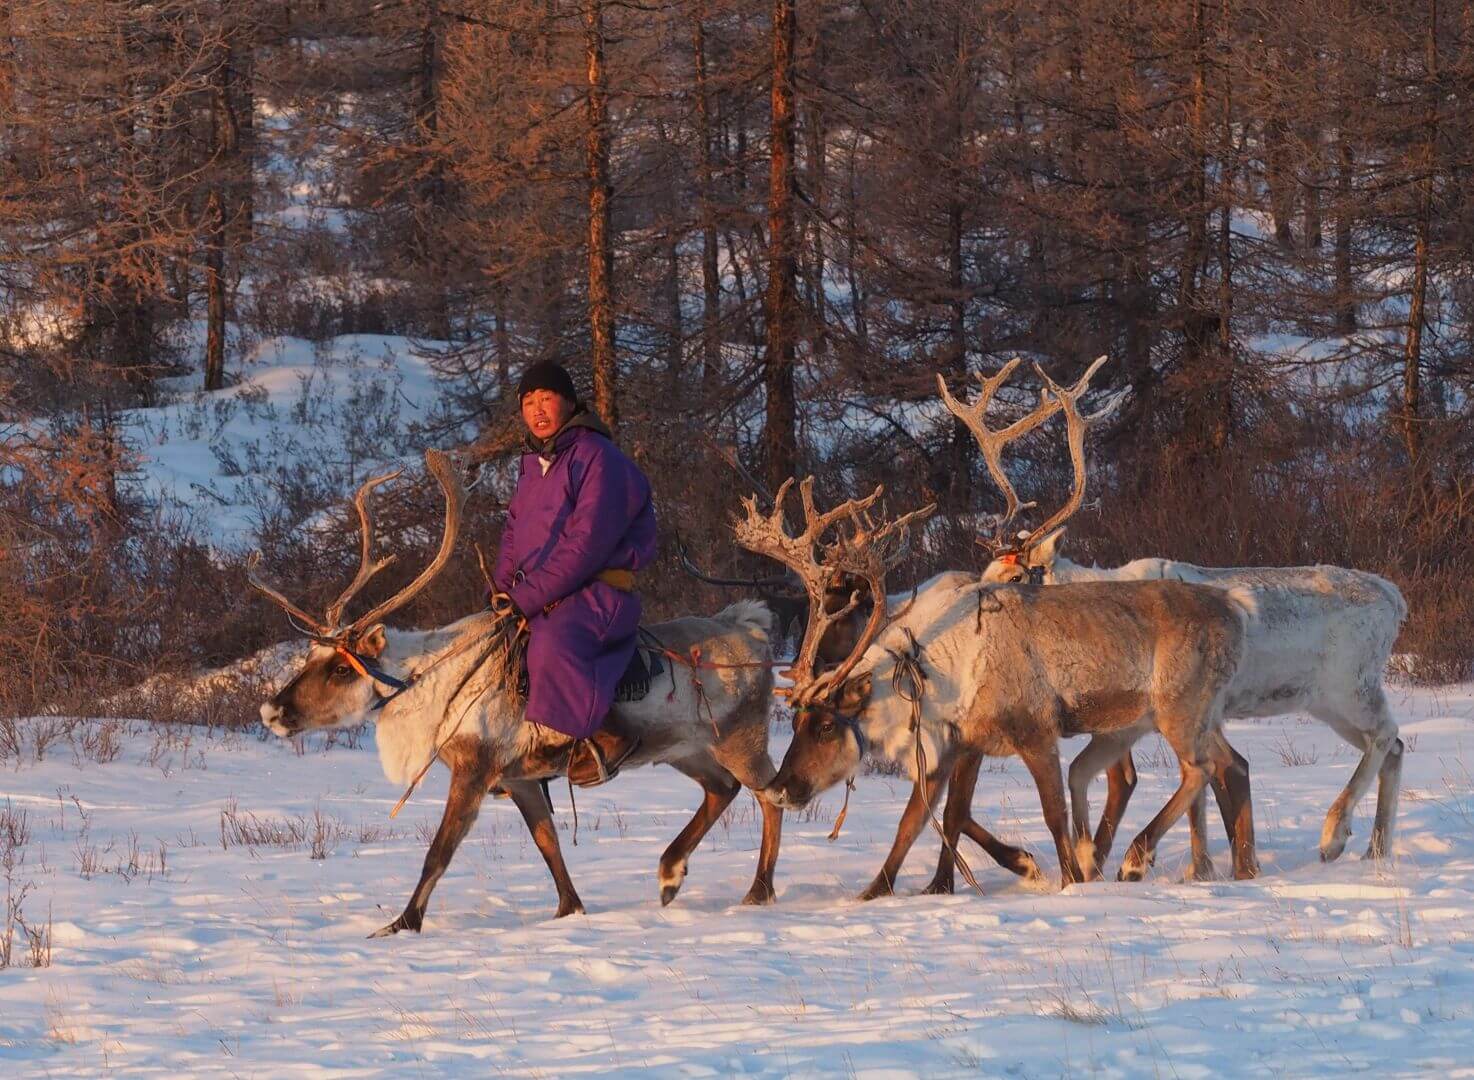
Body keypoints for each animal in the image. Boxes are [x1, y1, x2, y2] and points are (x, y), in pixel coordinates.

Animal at [250, 449, 786, 937]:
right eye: (310, 658)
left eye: (342, 668)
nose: (271, 710)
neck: (438, 686)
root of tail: (754, 628)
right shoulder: (521, 779)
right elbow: (549, 848)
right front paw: (569, 911)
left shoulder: (474, 769)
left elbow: (438, 853)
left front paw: (402, 924)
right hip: (683, 750)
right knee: (723, 789)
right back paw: (671, 874)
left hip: (740, 739)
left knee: (771, 796)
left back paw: (758, 890)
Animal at [740, 465, 1258, 893]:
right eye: (797, 721)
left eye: (827, 725)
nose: (778, 789)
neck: (939, 671)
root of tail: (1234, 610)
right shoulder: (961, 743)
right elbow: (926, 817)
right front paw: (889, 890)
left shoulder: (1034, 731)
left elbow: (1050, 813)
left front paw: (1066, 880)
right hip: (1184, 715)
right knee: (1229, 763)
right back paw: (1234, 865)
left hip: (1179, 707)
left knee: (1199, 768)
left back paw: (1134, 859)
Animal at [955, 360, 1408, 871]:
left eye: (1016, 575)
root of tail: (1395, 598)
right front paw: (1199, 867)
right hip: (1326, 703)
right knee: (1393, 748)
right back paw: (1376, 849)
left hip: (1349, 687)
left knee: (1388, 734)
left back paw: (1334, 836)